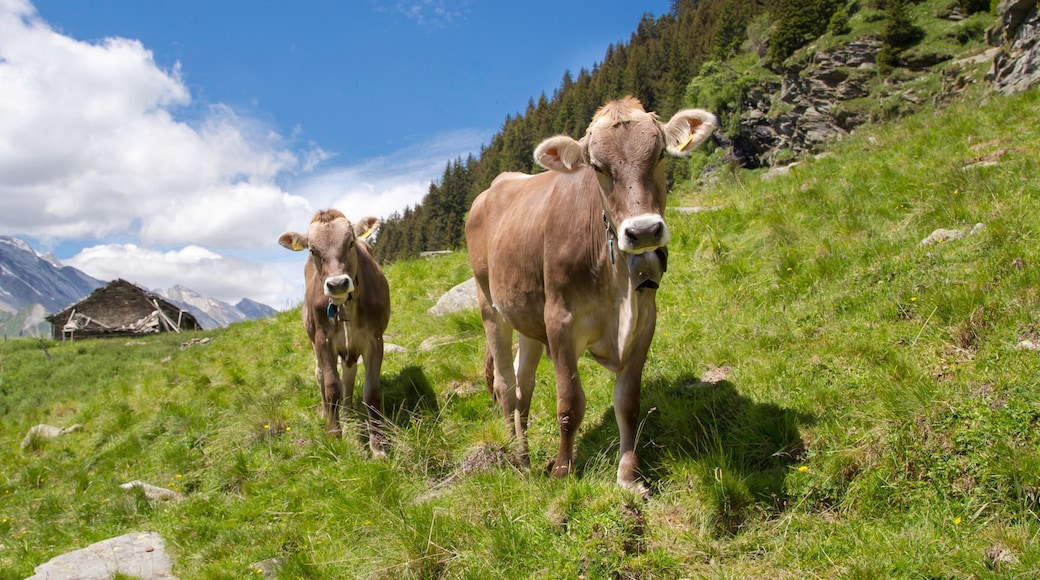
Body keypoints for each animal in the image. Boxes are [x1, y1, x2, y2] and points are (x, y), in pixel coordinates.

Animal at [278, 209, 391, 458]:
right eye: (312, 250)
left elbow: (372, 391)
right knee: (320, 375)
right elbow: (332, 388)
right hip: (312, 339)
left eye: (350, 242)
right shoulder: (323, 340)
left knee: (349, 373)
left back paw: (348, 413)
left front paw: (378, 446)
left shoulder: (374, 338)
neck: (345, 305)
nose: (338, 283)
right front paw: (334, 437)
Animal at [465, 97, 716, 495]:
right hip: (489, 304)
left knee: (523, 385)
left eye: (660, 153)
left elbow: (628, 402)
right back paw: (518, 461)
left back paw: (524, 453)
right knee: (505, 385)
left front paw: (629, 476)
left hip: (527, 316)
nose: (643, 231)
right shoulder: (560, 321)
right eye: (598, 167)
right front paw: (562, 471)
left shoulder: (645, 321)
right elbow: (569, 403)